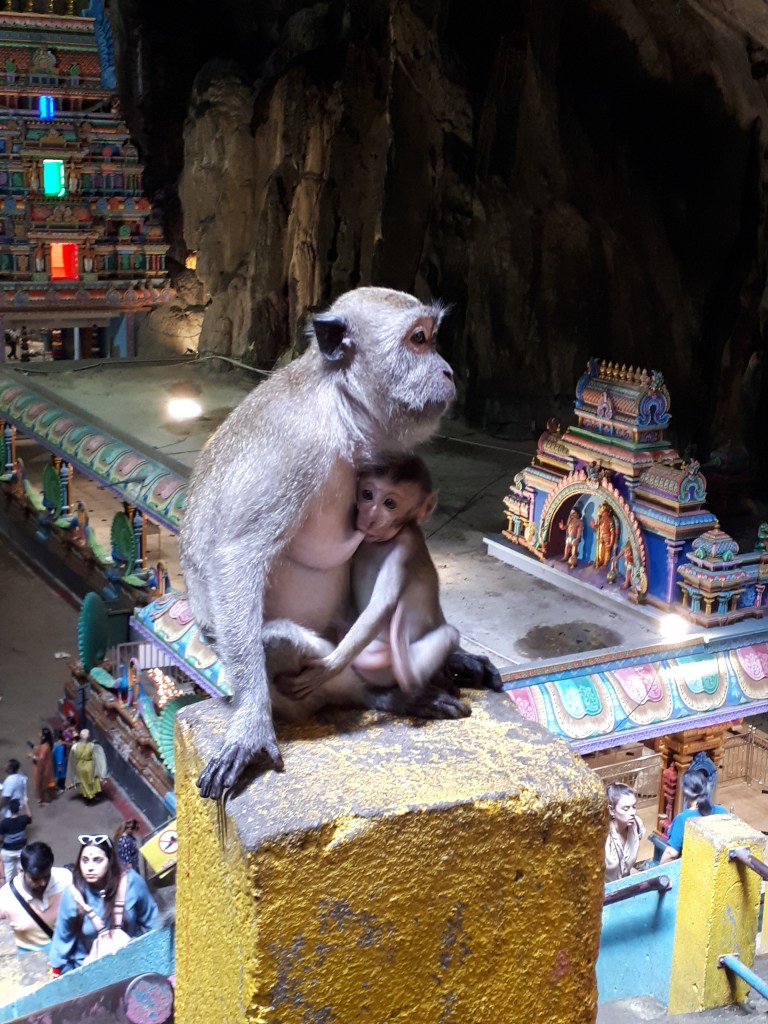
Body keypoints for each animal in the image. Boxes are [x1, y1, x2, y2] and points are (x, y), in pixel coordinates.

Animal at [182, 286, 470, 800]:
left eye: (432, 338)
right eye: (418, 340)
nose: (448, 371)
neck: (339, 405)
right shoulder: (293, 449)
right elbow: (237, 556)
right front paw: (250, 725)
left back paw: (399, 694)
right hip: (306, 683)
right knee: (276, 640)